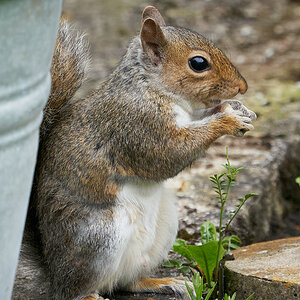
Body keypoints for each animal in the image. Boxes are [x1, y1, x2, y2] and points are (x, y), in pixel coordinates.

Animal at [11, 5, 255, 300]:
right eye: (198, 63)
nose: (242, 87)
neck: (152, 87)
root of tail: (53, 276)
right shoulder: (137, 125)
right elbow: (170, 154)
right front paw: (228, 120)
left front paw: (235, 108)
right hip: (100, 237)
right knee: (77, 291)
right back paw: (90, 295)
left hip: (161, 229)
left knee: (127, 282)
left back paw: (162, 282)